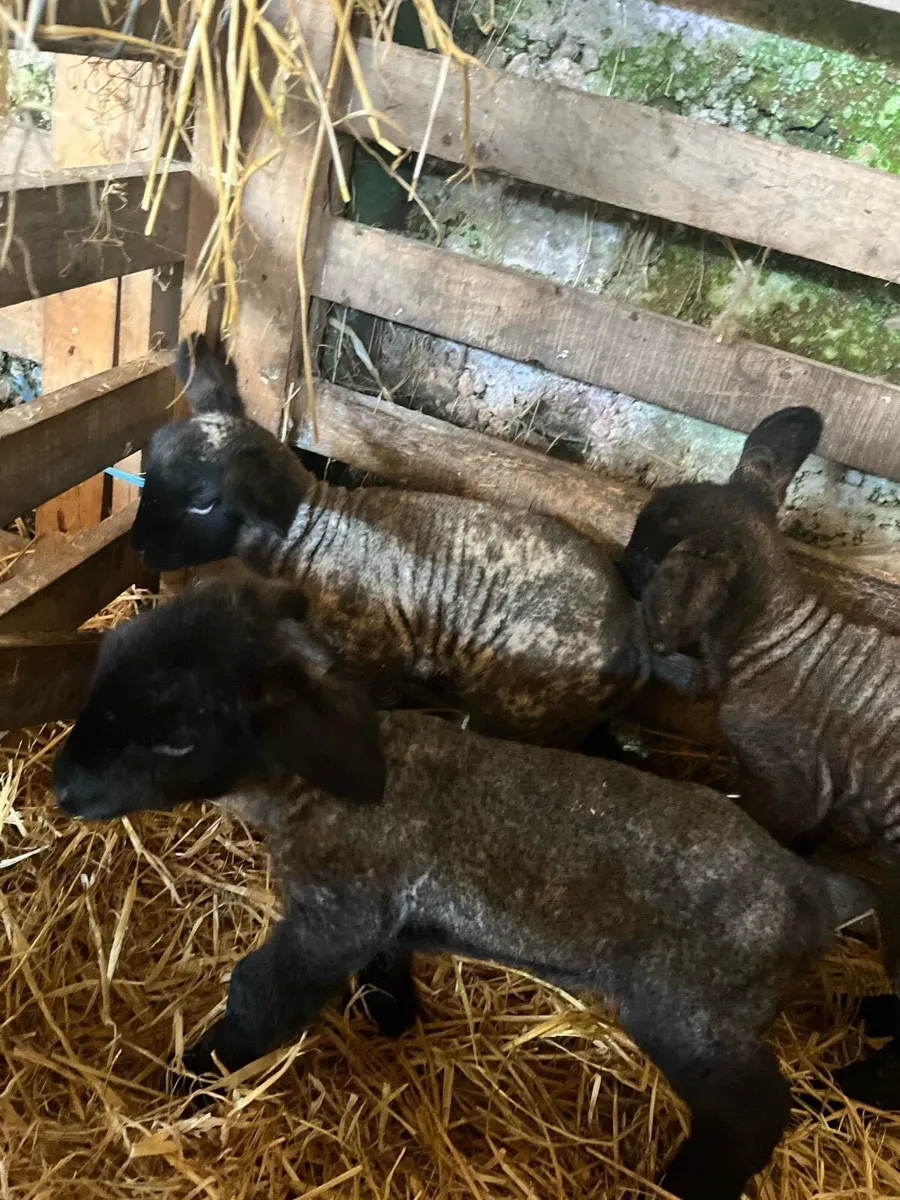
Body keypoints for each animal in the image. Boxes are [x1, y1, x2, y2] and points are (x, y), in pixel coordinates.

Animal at [53, 577, 876, 1200]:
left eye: (177, 737)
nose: (64, 790)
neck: (309, 789)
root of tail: (814, 891)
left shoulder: (336, 912)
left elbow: (262, 993)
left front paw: (194, 1077)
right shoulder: (379, 911)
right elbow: (388, 960)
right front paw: (391, 1016)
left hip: (694, 1009)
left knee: (757, 1109)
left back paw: (689, 1185)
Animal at [130, 335, 699, 748]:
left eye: (205, 502)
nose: (137, 546)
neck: (314, 537)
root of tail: (637, 632)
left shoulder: (376, 658)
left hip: (523, 704)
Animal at [619, 405, 900, 1106]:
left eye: (647, 554)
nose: (618, 568)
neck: (774, 643)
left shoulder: (787, 786)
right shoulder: (822, 797)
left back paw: (856, 1084)